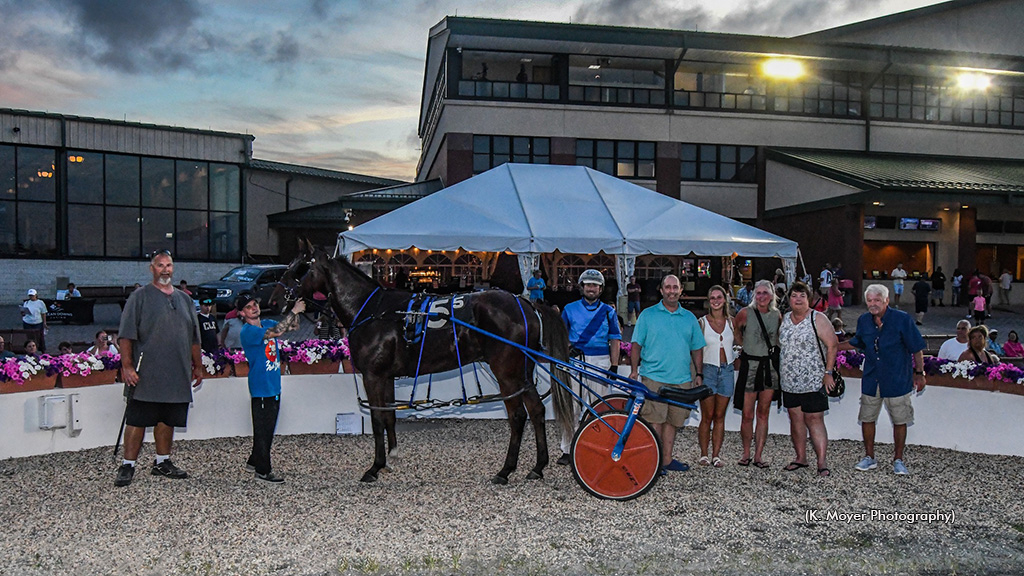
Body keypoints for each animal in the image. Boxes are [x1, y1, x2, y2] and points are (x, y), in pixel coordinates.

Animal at [272, 241, 577, 483]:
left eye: (301, 267)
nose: (275, 299)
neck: (373, 310)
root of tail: (526, 304)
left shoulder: (373, 375)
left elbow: (377, 419)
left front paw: (375, 467)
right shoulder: (386, 376)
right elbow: (389, 416)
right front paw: (391, 458)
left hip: (507, 373)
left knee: (518, 416)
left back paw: (505, 470)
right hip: (522, 373)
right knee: (536, 411)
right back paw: (537, 466)